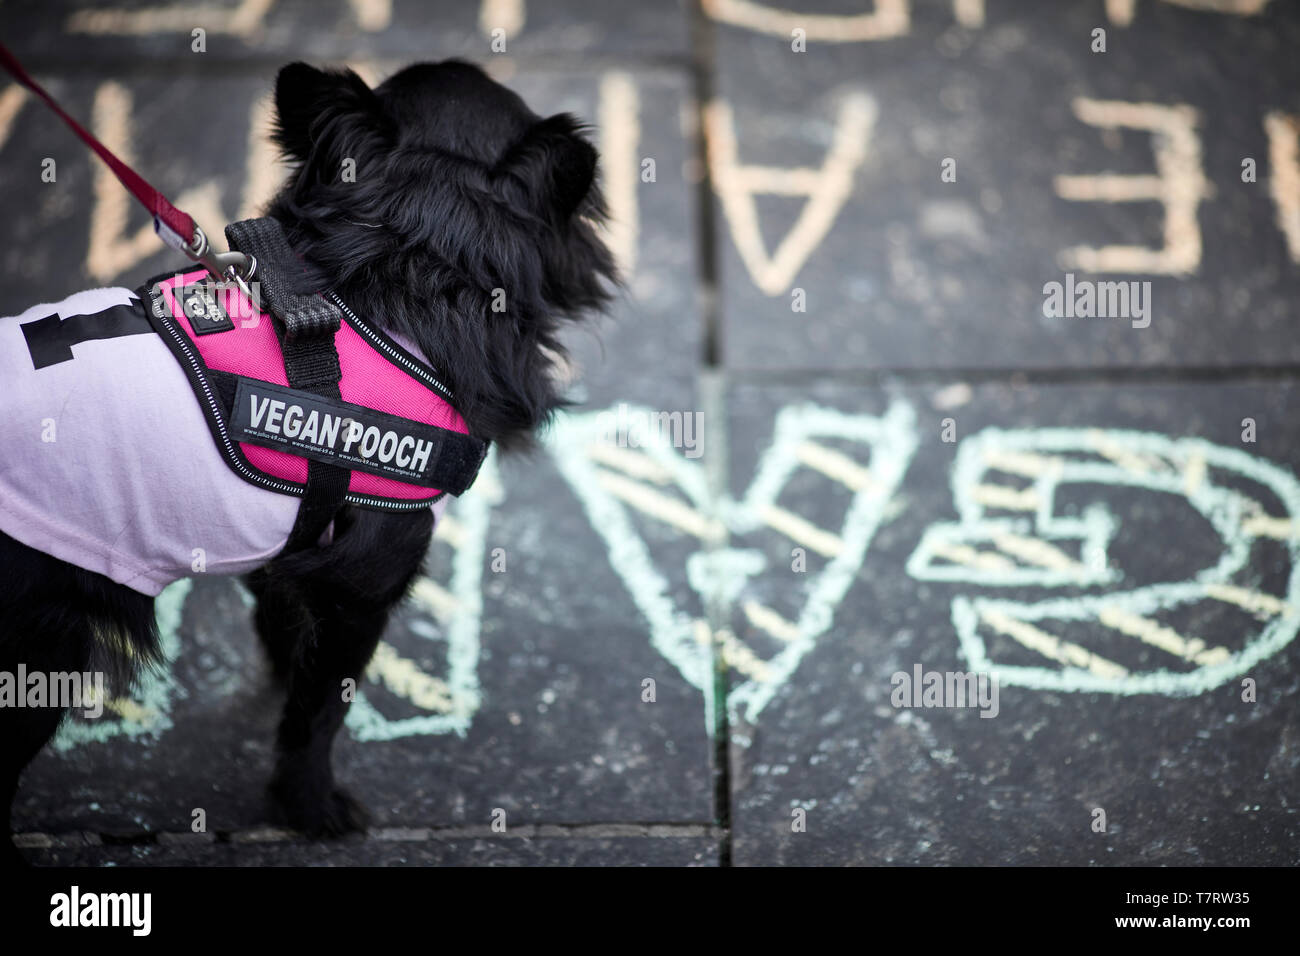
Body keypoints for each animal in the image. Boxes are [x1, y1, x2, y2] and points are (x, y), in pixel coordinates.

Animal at [0, 63, 613, 863]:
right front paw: (309, 804)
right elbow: (318, 713)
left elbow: (282, 632)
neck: (401, 267)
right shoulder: (360, 593)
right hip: (36, 660)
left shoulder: (292, 547)